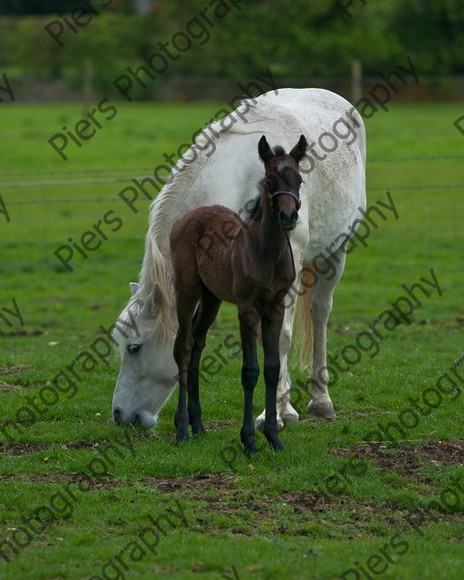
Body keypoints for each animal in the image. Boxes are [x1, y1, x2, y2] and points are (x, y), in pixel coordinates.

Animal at [112, 86, 366, 430]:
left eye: (134, 348)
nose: (119, 415)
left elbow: (280, 337)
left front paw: (275, 413)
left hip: (337, 249)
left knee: (320, 312)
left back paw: (321, 399)